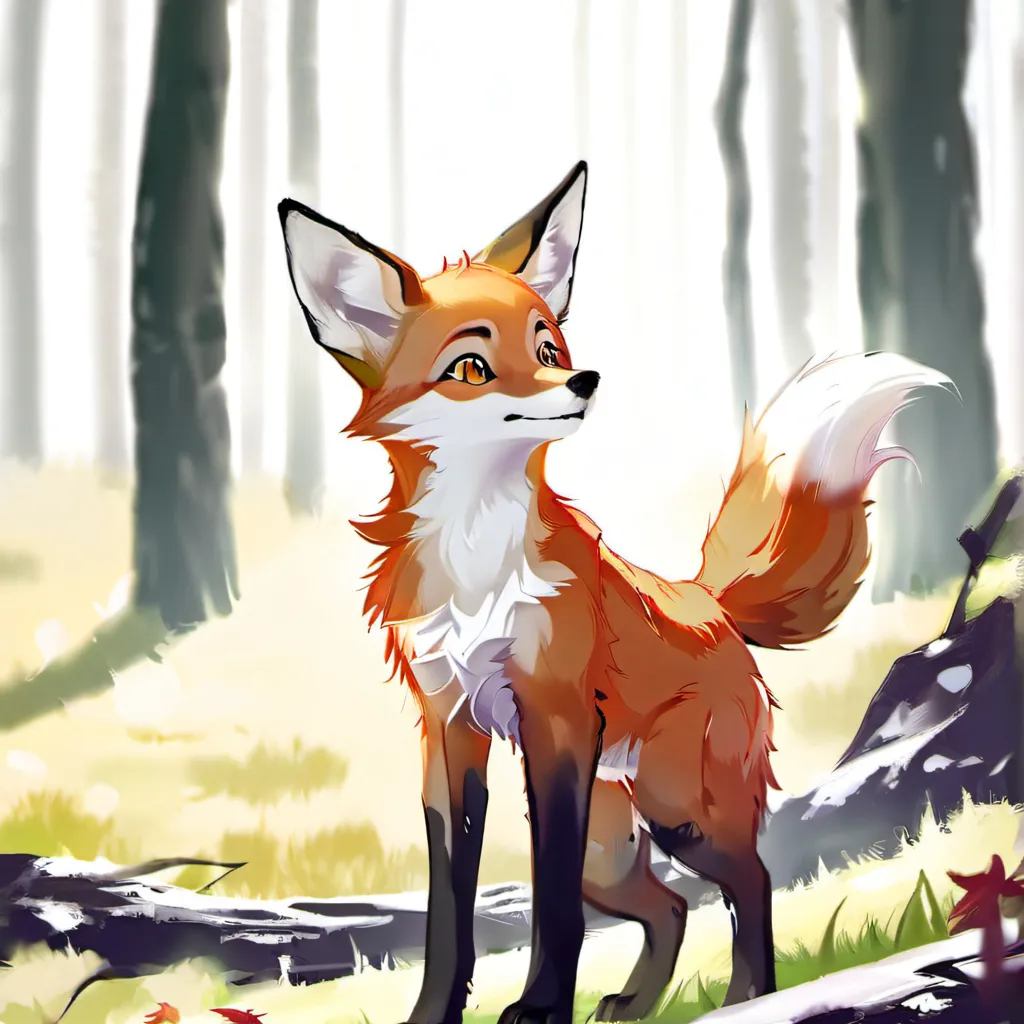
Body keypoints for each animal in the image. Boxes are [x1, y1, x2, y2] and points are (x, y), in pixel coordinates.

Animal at [277, 161, 951, 1024]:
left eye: (547, 344)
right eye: (471, 366)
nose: (584, 378)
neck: (476, 561)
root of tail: (709, 605)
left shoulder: (556, 719)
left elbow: (551, 901)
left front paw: (540, 1009)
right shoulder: (449, 730)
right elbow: (449, 910)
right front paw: (435, 1016)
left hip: (680, 810)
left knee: (751, 882)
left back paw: (746, 998)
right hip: (617, 845)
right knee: (670, 905)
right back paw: (634, 1005)